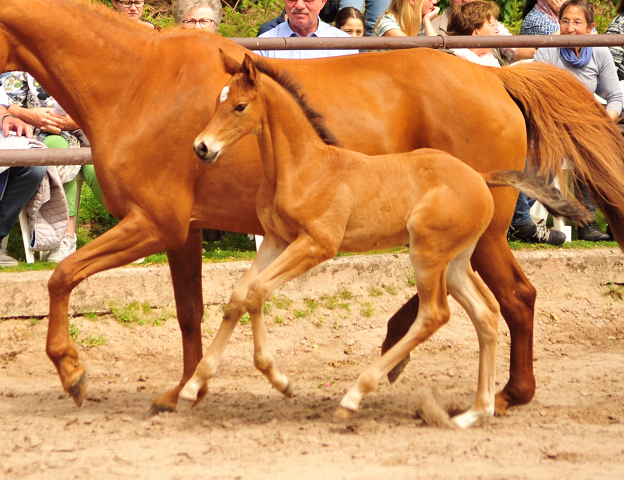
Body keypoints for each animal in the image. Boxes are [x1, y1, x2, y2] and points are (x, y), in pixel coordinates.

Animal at [179, 52, 588, 428]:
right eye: (217, 101)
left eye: (239, 106)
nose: (201, 147)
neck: (304, 167)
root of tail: (479, 176)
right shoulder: (276, 241)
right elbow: (238, 296)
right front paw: (192, 387)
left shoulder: (317, 244)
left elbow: (257, 291)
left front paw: (279, 380)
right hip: (456, 261)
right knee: (485, 312)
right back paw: (475, 412)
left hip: (427, 253)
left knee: (435, 314)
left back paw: (355, 395)